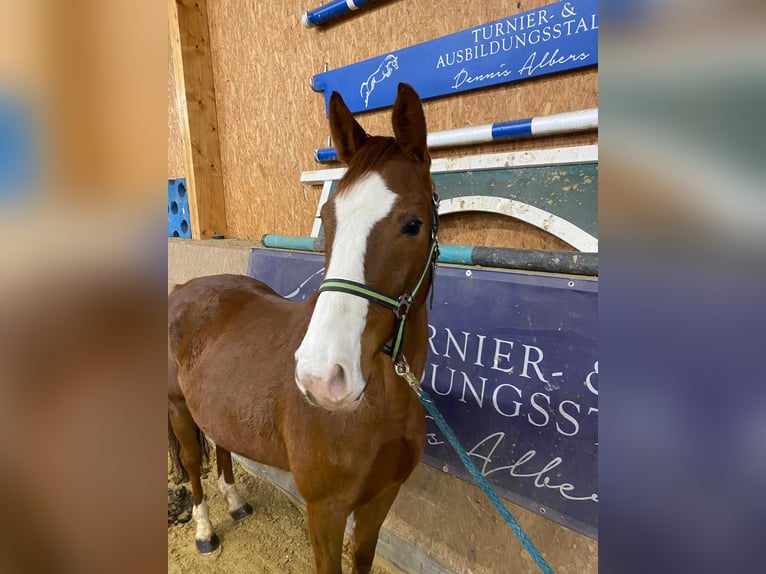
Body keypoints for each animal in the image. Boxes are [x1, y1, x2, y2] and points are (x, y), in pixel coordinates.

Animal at [168, 82, 438, 573]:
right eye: (327, 221)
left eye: (413, 224)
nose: (320, 377)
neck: (381, 401)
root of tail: (182, 289)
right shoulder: (325, 512)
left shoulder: (380, 500)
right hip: (178, 408)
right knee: (193, 462)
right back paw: (204, 529)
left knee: (222, 445)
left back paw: (235, 502)